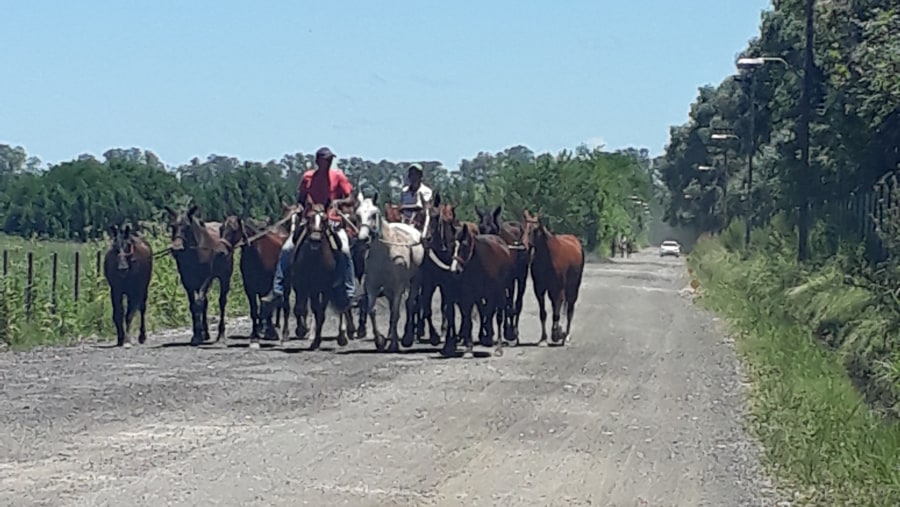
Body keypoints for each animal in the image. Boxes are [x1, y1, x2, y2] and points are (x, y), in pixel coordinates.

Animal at [163, 204, 236, 348]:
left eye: (187, 226)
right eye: (172, 226)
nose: (176, 248)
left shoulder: (206, 278)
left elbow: (198, 304)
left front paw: (197, 336)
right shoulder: (188, 281)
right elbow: (194, 305)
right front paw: (197, 334)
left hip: (224, 277)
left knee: (222, 302)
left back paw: (221, 335)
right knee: (205, 303)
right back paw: (206, 333)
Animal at [356, 190, 426, 354]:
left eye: (373, 214)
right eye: (358, 215)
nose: (363, 239)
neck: (385, 251)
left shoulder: (398, 286)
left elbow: (395, 312)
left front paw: (394, 344)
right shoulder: (372, 285)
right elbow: (372, 310)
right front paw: (380, 341)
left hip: (414, 281)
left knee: (410, 303)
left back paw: (407, 337)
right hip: (388, 289)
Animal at [474, 205, 532, 346]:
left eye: (494, 229)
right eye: (480, 227)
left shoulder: (502, 282)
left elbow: (498, 305)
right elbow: (483, 307)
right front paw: (485, 333)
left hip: (520, 278)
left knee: (515, 303)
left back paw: (512, 332)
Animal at [520, 209, 584, 346]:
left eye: (534, 229)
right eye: (522, 228)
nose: (523, 246)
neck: (547, 256)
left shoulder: (558, 288)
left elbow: (556, 313)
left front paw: (556, 334)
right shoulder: (539, 289)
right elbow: (543, 313)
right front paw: (543, 338)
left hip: (572, 288)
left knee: (569, 310)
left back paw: (566, 336)